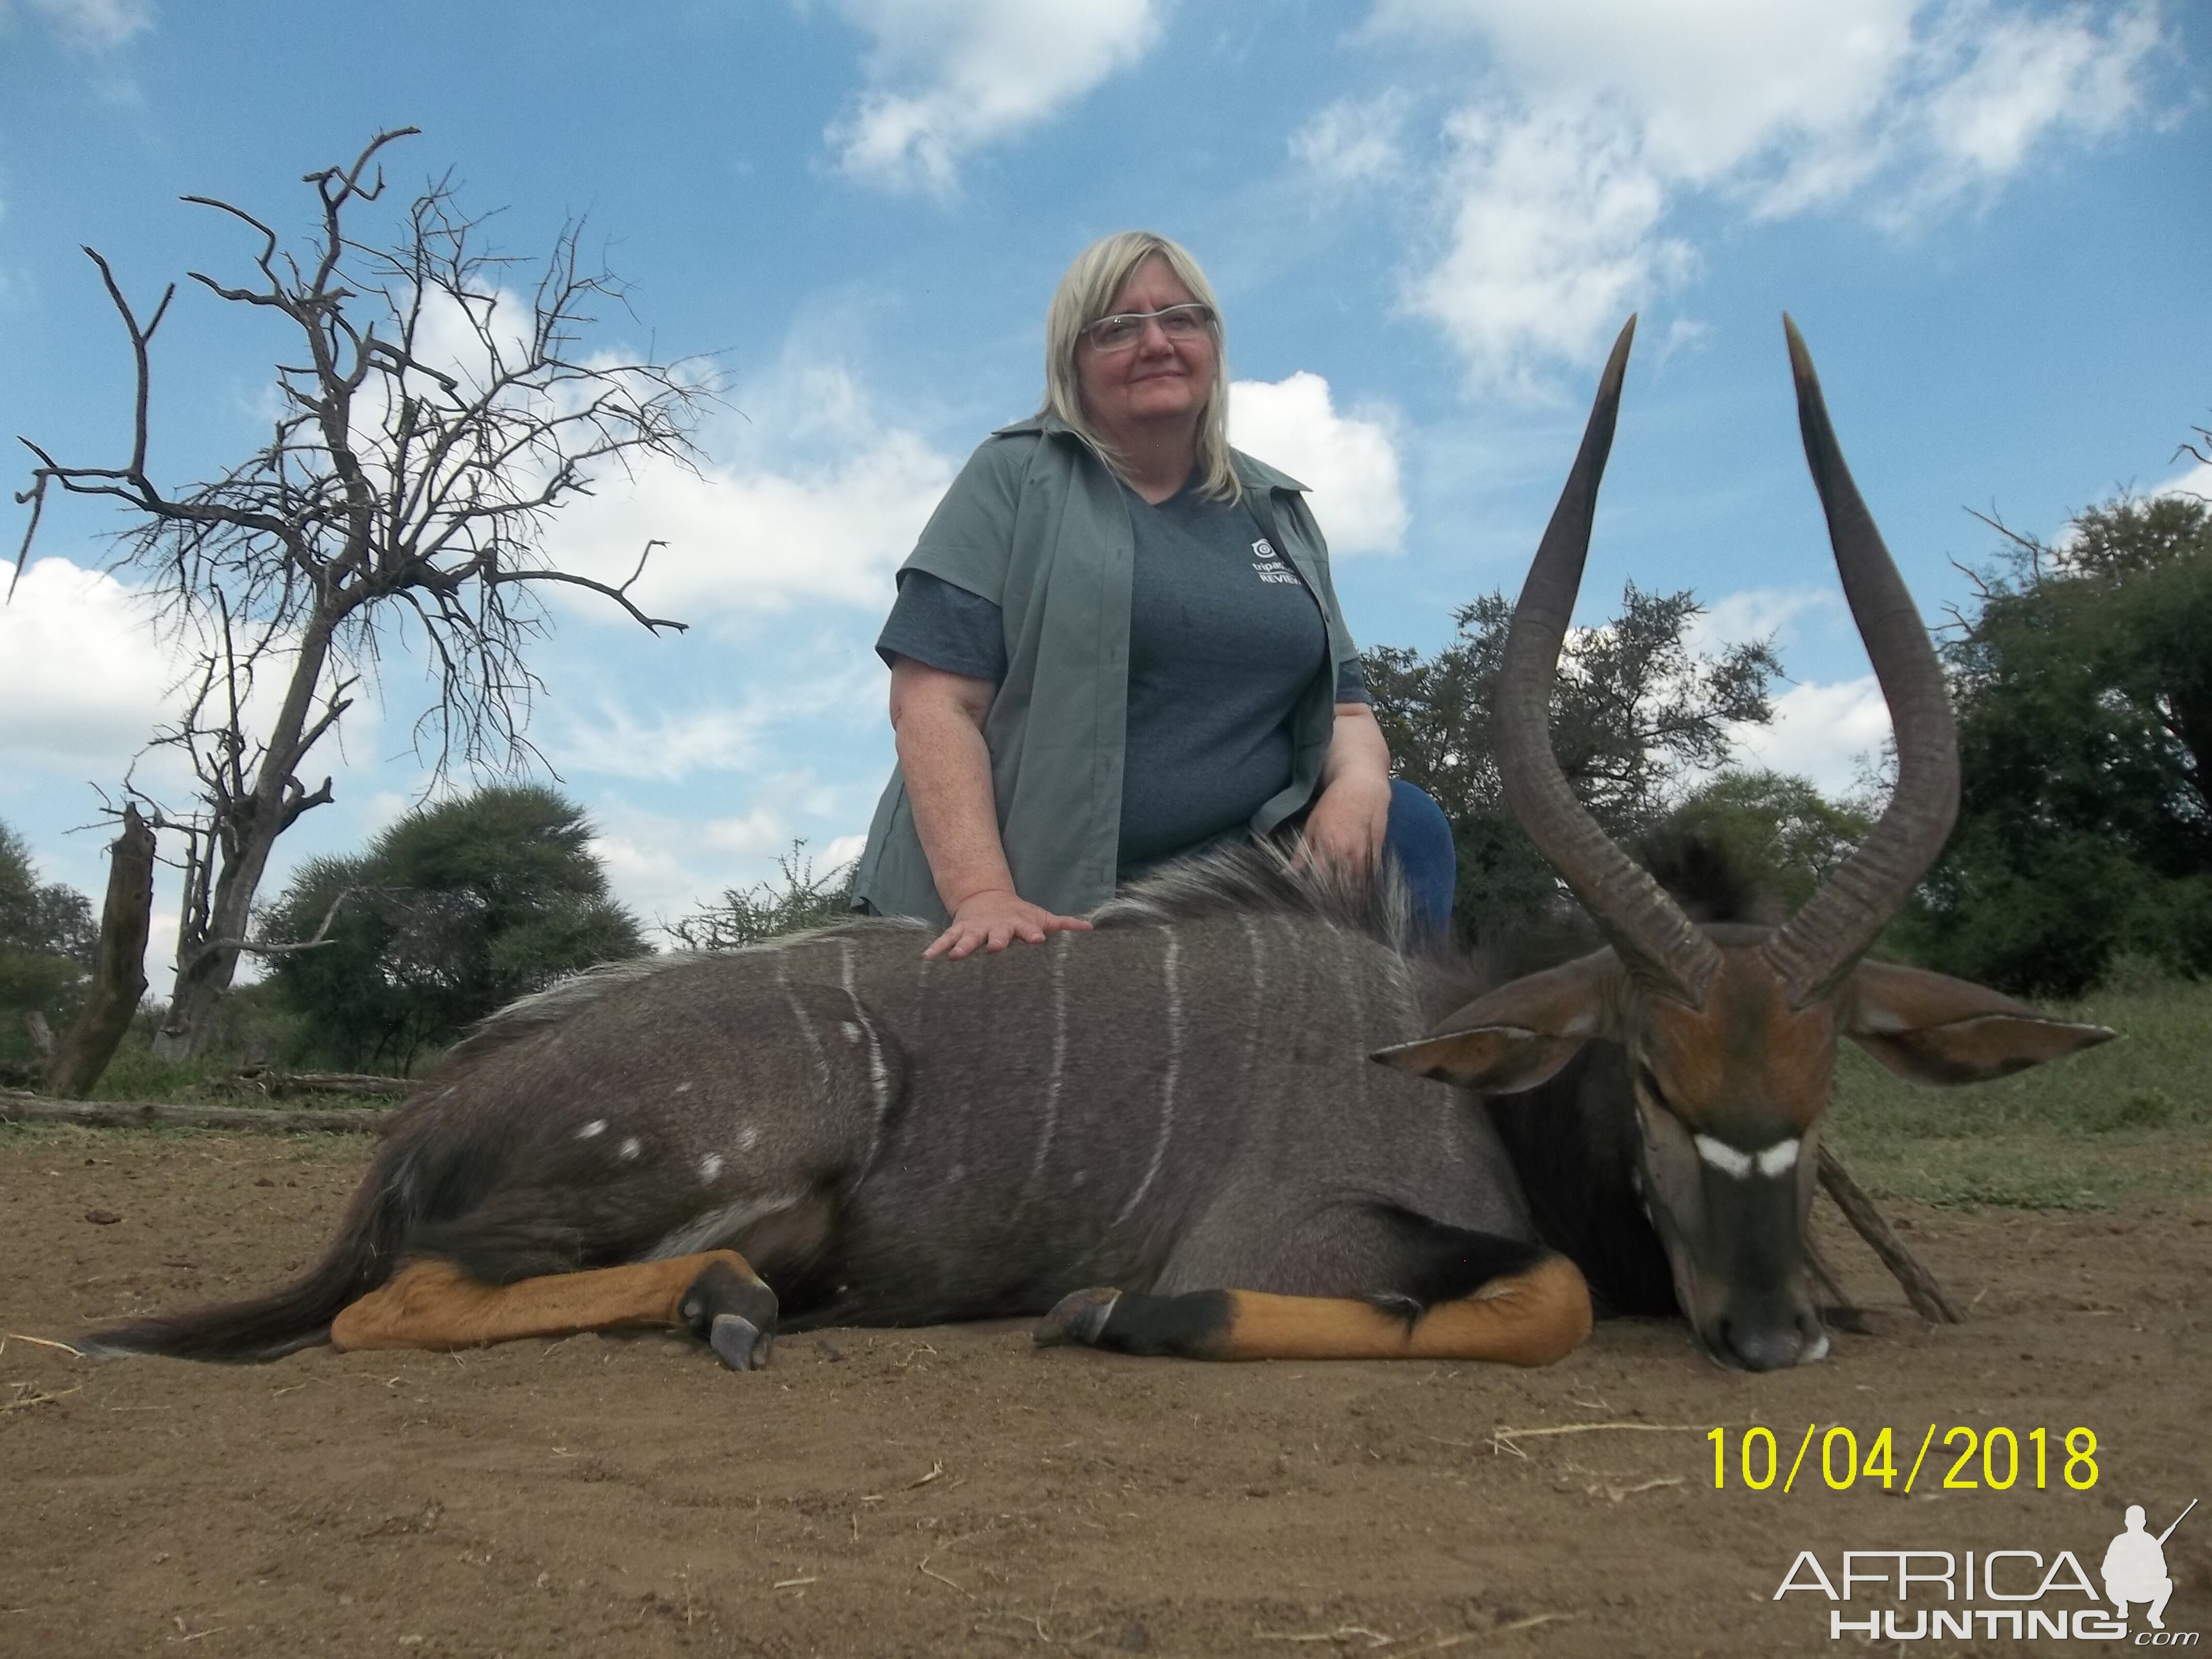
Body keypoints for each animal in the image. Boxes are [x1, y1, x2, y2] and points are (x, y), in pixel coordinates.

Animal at [78, 312, 2115, 1380]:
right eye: (1647, 1070)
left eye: (1825, 1080)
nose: (1776, 1334)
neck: (1451, 1061)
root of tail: (424, 1116)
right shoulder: (1313, 1225)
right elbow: (1512, 1296)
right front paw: (1113, 1310)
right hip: (731, 1157)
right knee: (396, 1302)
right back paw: (726, 1310)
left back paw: (744, 1306)